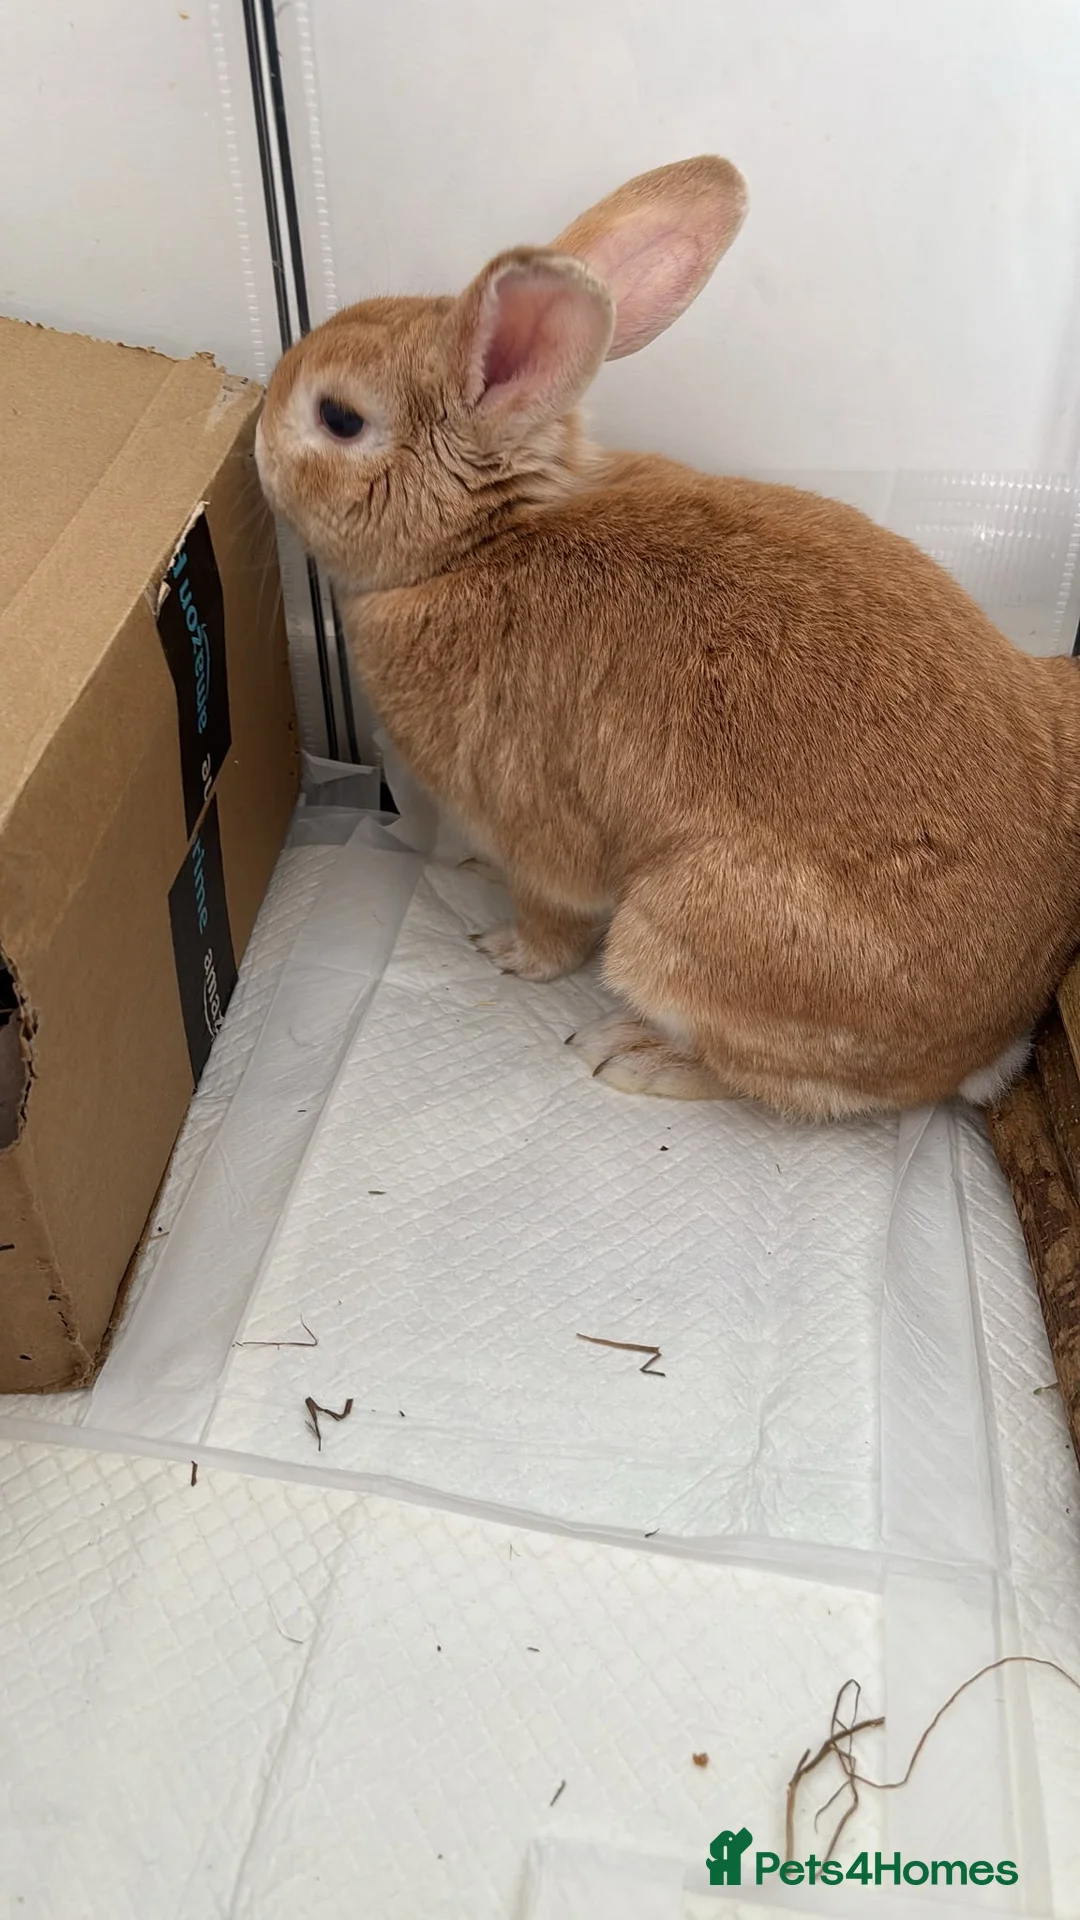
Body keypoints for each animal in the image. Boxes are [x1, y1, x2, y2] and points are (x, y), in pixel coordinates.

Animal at [255, 157, 1080, 1122]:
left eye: (339, 418)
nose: (253, 432)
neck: (477, 544)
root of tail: (992, 1039)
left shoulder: (537, 828)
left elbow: (555, 918)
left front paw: (506, 951)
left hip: (673, 937)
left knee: (764, 1083)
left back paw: (630, 1054)